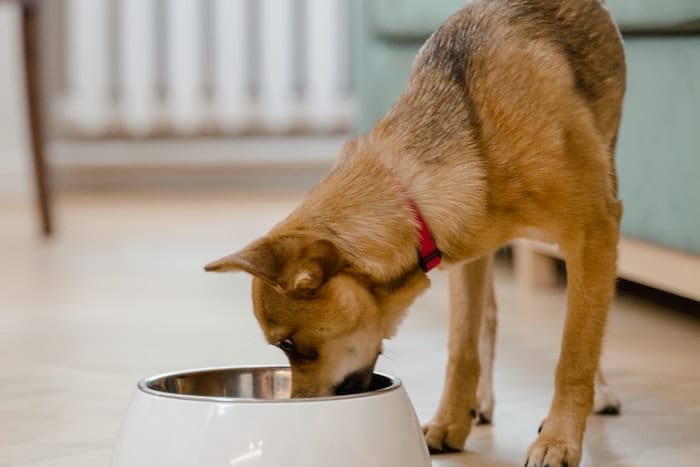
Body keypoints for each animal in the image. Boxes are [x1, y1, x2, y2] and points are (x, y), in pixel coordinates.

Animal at [205, 1, 628, 466]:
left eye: (289, 344)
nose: (301, 412)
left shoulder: (594, 233)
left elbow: (575, 351)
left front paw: (559, 438)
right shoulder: (469, 249)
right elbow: (462, 348)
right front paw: (451, 422)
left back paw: (598, 392)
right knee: (488, 320)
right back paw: (481, 402)